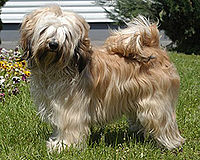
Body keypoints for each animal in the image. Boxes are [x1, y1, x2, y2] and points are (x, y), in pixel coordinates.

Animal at [20, 5, 184, 152]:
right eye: (44, 30)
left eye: (66, 35)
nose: (53, 44)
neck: (56, 68)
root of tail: (153, 46)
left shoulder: (71, 109)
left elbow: (69, 126)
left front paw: (63, 146)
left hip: (156, 103)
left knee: (164, 122)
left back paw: (171, 144)